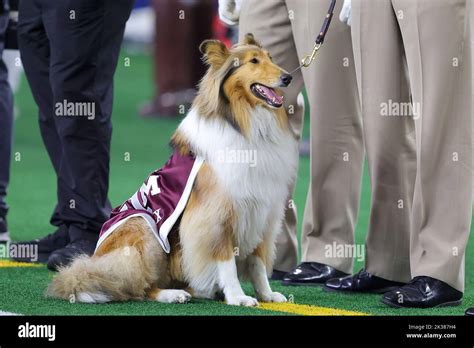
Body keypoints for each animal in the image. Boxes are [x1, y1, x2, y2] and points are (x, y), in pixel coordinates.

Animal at [49, 34, 300, 306]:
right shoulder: (215, 217)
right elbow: (226, 262)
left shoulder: (261, 212)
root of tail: (97, 259)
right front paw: (237, 297)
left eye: (270, 58)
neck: (244, 122)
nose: (288, 77)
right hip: (142, 226)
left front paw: (267, 294)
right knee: (139, 288)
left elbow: (257, 262)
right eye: (253, 61)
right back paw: (174, 294)